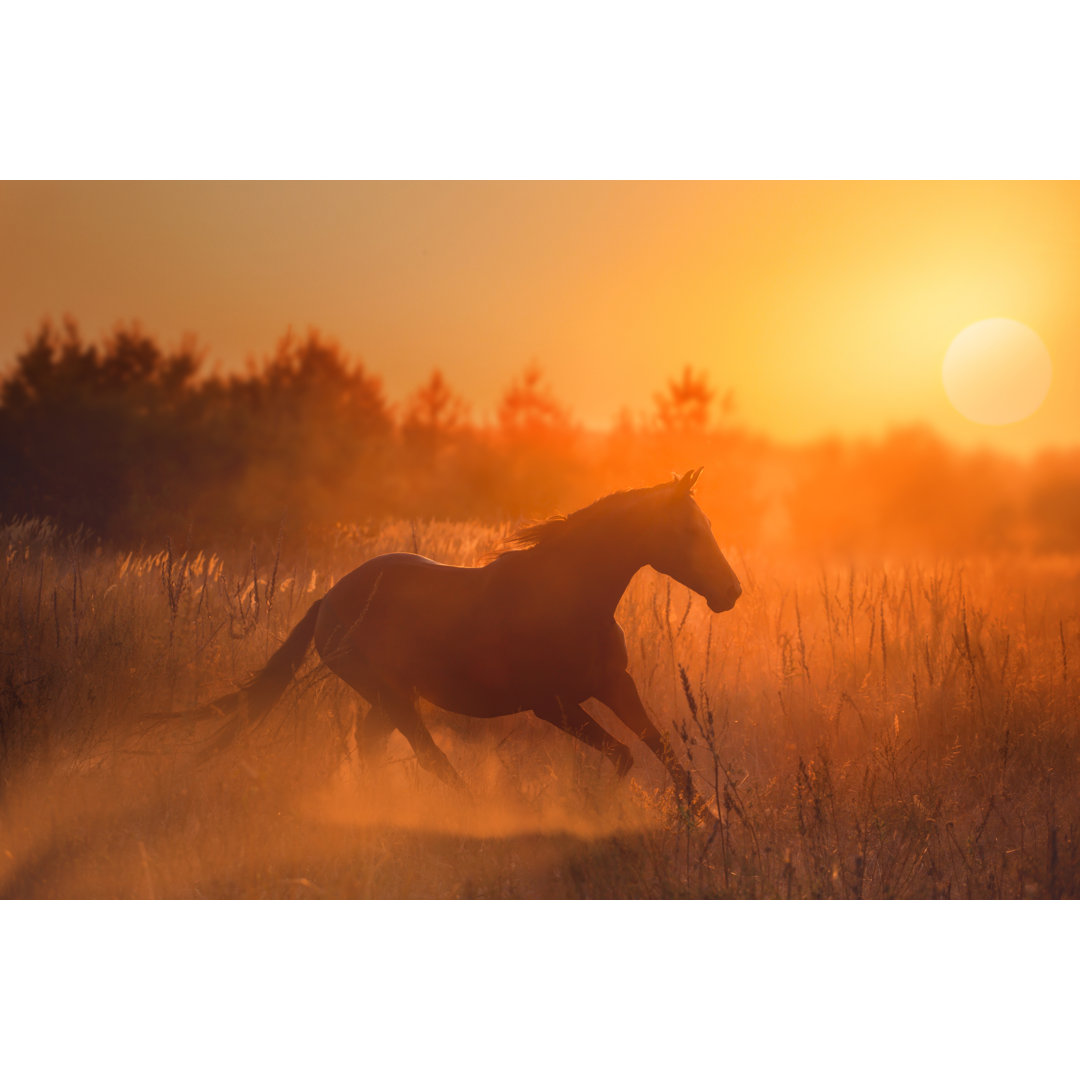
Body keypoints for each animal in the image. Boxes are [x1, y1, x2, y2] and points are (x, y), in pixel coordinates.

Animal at [194, 466, 743, 816]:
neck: (571, 599)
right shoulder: (553, 703)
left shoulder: (614, 685)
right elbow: (625, 754)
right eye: (690, 530)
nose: (731, 591)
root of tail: (328, 599)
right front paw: (601, 814)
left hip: (392, 698)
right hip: (392, 696)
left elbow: (661, 748)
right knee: (429, 757)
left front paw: (709, 819)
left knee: (373, 747)